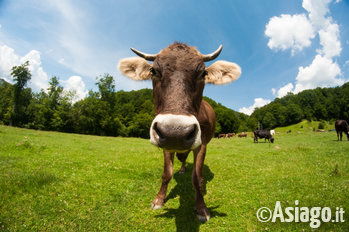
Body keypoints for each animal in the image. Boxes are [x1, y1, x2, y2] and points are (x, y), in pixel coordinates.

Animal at [118, 42, 241, 222]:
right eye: (153, 71)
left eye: (203, 73)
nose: (175, 131)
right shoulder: (165, 142)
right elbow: (166, 173)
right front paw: (159, 199)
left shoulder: (202, 144)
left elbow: (197, 177)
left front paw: (201, 208)